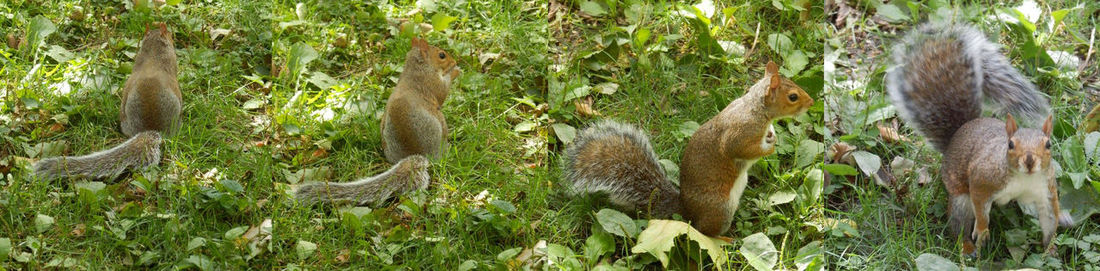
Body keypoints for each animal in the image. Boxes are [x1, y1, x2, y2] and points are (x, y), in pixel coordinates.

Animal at [290, 37, 457, 207]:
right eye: (442, 55)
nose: (454, 61)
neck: (416, 68)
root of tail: (420, 155)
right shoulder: (430, 82)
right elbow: (442, 91)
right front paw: (456, 71)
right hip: (441, 127)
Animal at [567, 60, 818, 237]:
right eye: (793, 97)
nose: (812, 102)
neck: (756, 108)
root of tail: (687, 211)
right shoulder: (739, 134)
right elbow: (743, 151)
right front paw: (769, 148)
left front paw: (772, 135)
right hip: (720, 209)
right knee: (705, 232)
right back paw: (725, 240)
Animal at [884, 22, 1073, 256]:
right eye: (1010, 144)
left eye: (1047, 144)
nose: (1029, 161)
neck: (1023, 178)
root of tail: (958, 134)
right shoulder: (982, 180)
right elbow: (981, 208)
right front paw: (982, 231)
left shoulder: (1045, 191)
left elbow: (1049, 220)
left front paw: (1050, 249)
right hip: (961, 198)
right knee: (957, 225)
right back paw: (967, 247)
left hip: (1027, 202)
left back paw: (1064, 217)